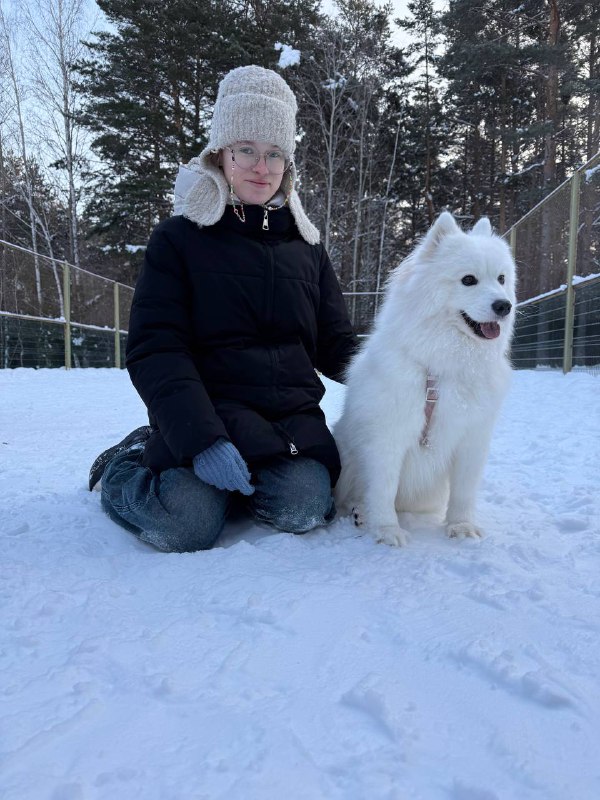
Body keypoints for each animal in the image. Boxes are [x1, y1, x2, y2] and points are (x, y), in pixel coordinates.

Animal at [334, 211, 516, 546]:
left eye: (501, 279)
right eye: (468, 280)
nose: (504, 306)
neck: (444, 368)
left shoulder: (472, 438)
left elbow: (463, 492)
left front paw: (461, 526)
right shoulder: (387, 437)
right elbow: (383, 489)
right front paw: (387, 530)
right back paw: (361, 512)